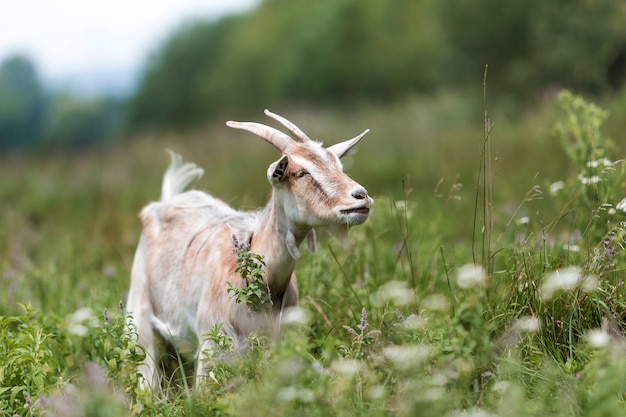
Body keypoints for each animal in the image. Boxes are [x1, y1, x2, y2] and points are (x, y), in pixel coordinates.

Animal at [124, 109, 372, 386]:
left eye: (338, 165)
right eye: (300, 173)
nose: (361, 196)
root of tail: (166, 201)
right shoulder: (212, 342)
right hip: (139, 315)